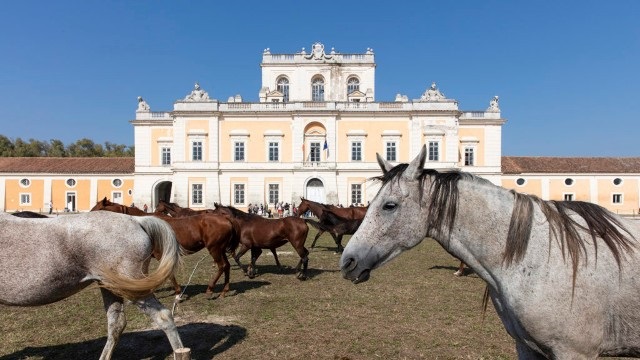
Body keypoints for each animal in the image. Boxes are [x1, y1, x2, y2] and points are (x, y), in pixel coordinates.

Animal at [91, 198, 239, 300]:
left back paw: (210, 290)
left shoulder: (162, 255)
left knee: (221, 266)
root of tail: (226, 219)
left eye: (97, 209)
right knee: (227, 266)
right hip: (220, 249)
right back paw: (224, 291)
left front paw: (178, 294)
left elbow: (169, 274)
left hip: (214, 249)